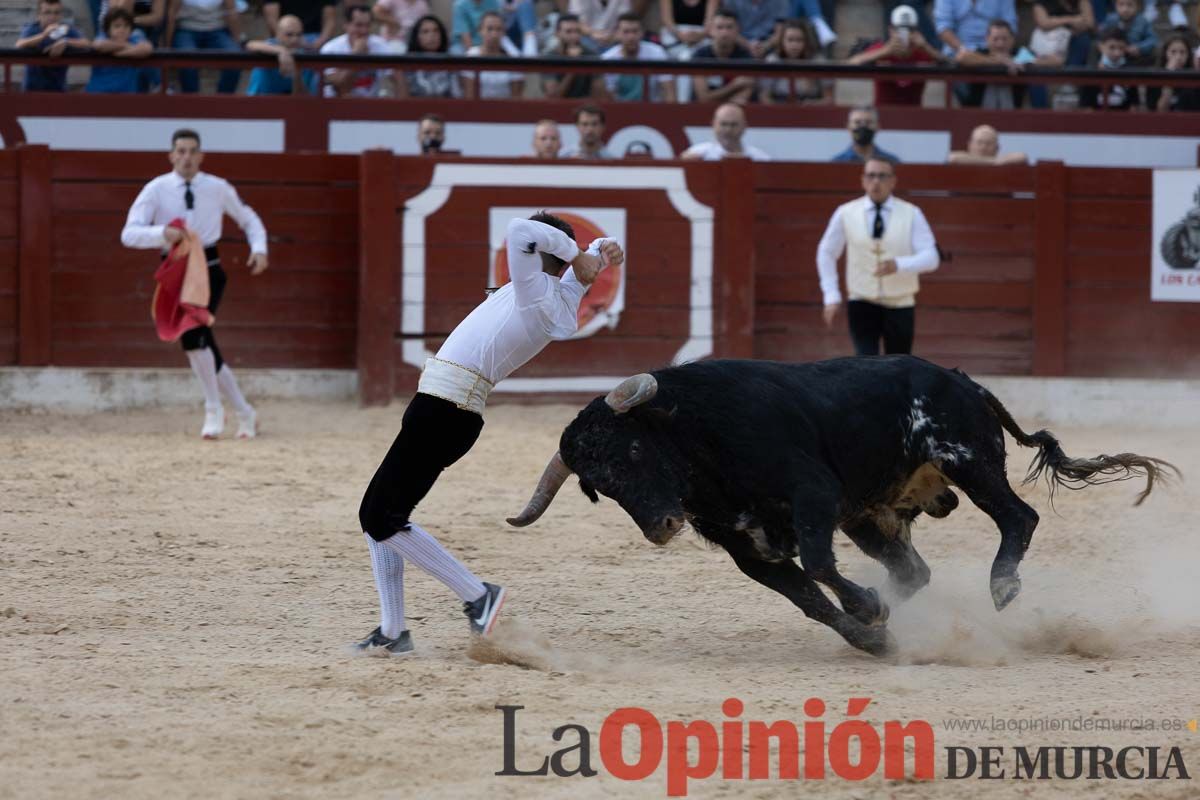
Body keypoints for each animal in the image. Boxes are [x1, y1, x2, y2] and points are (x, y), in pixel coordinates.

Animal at [504, 357, 1171, 657]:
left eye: (636, 448)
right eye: (601, 486)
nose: (663, 527)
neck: (700, 438)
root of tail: (962, 379)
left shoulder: (814, 496)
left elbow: (821, 566)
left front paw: (868, 610)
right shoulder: (751, 552)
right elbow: (809, 599)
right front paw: (872, 635)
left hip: (966, 460)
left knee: (1018, 517)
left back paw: (1002, 587)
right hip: (872, 516)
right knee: (916, 571)